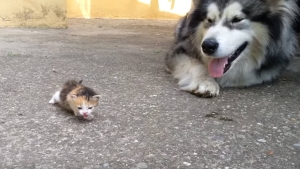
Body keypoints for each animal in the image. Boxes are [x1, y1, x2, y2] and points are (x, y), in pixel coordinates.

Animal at [165, 0, 298, 97]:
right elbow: (197, 65)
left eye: (237, 19)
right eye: (209, 20)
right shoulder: (181, 48)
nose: (207, 46)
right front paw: (205, 82)